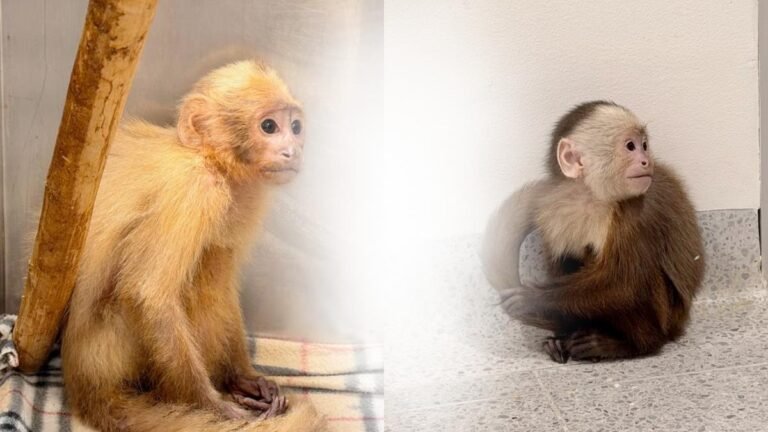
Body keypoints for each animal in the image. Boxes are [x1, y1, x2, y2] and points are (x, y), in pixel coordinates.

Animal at [60, 60, 327, 431]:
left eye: (296, 127)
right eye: (269, 127)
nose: (293, 150)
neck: (207, 159)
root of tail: (83, 380)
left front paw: (242, 377)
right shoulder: (196, 190)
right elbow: (148, 295)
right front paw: (215, 407)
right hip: (116, 347)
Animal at [481, 101, 704, 363]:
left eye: (645, 146)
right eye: (631, 146)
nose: (646, 161)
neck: (592, 198)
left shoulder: (639, 212)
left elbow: (624, 285)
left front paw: (535, 301)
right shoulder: (552, 210)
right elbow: (560, 261)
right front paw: (561, 330)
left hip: (667, 320)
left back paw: (632, 344)